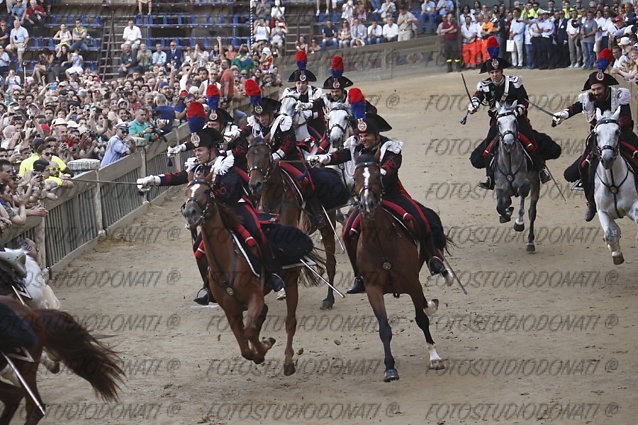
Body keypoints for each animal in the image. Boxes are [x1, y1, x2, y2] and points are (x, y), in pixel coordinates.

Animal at [244, 139, 338, 308]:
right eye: (247, 155)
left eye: (266, 154)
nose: (255, 185)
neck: (275, 197)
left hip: (327, 228)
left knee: (330, 263)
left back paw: (329, 298)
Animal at [352, 156, 448, 380]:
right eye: (355, 177)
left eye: (377, 175)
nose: (367, 205)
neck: (380, 243)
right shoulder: (373, 289)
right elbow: (384, 327)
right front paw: (390, 368)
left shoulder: (412, 282)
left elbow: (421, 319)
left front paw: (434, 358)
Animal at [592, 107, 638, 264]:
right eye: (596, 133)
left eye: (617, 131)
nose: (607, 159)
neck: (612, 183)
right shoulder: (602, 211)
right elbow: (610, 233)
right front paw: (616, 255)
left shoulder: (634, 206)